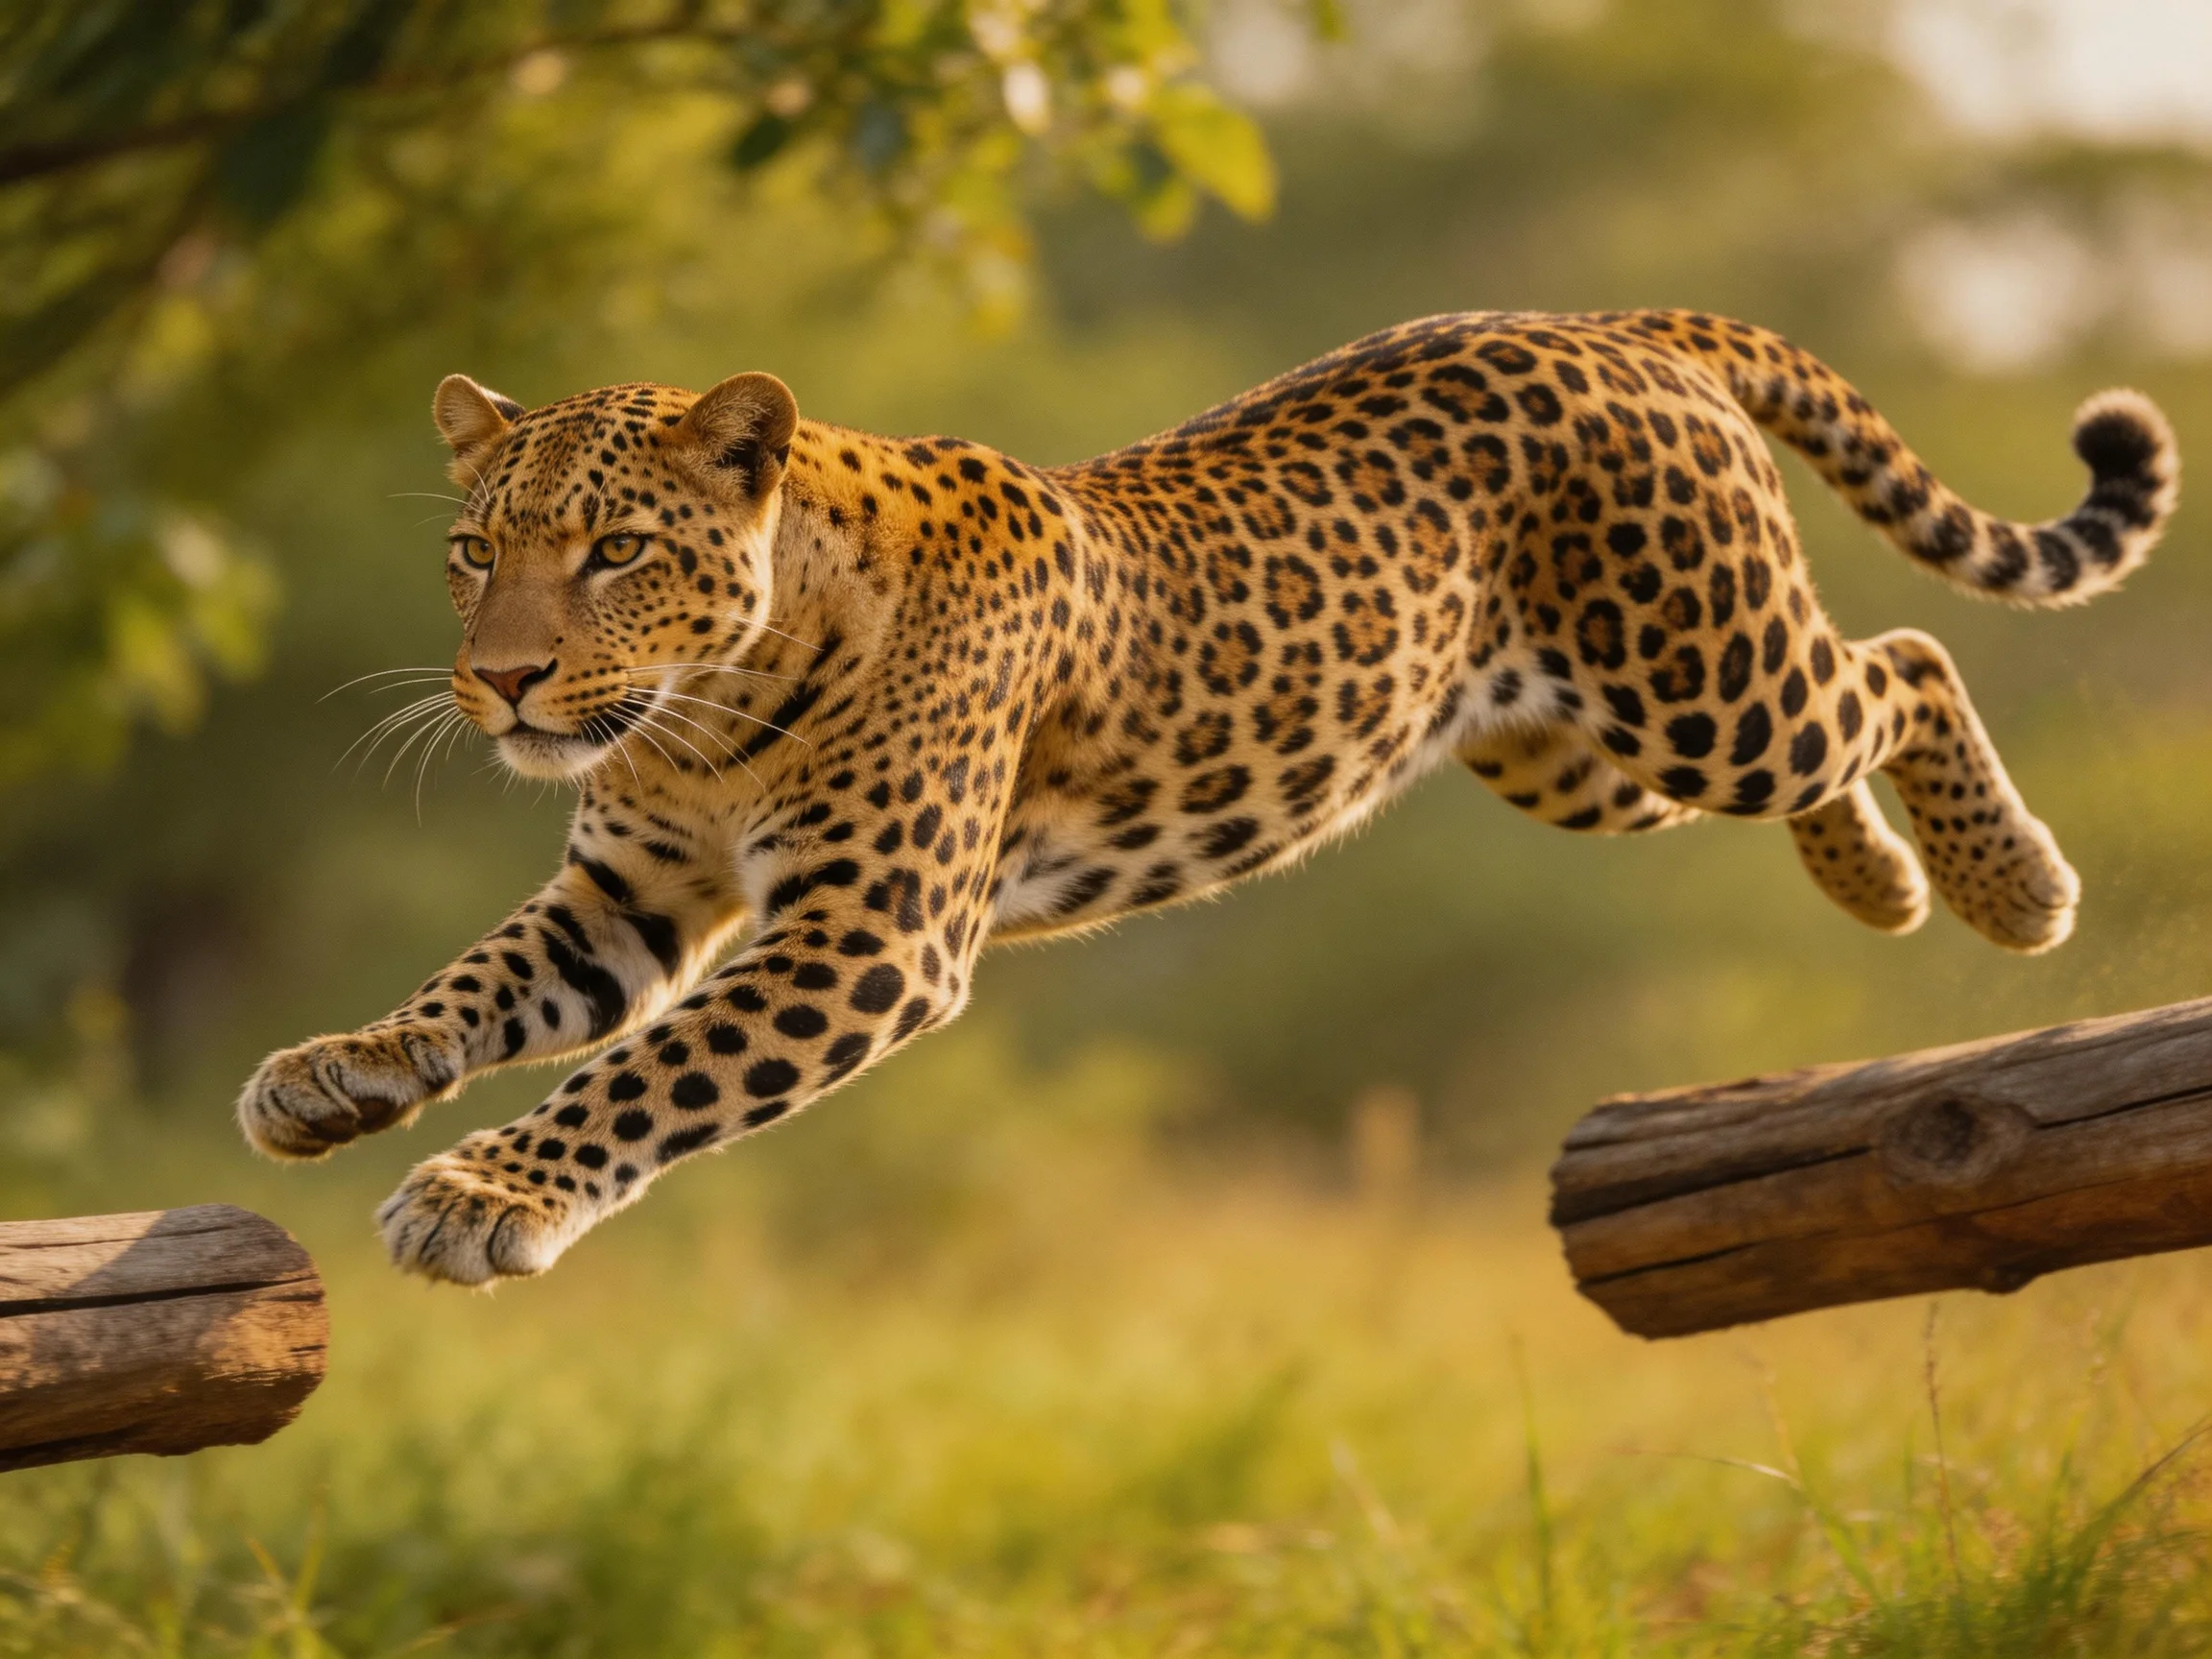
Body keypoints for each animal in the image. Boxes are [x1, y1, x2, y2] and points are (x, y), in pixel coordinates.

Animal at [238, 309, 2179, 1284]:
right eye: (474, 552)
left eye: (616, 551)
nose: (499, 680)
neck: (703, 716)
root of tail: (1597, 319)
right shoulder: (631, 892)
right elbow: (484, 983)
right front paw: (339, 1072)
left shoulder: (869, 935)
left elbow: (649, 1073)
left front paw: (478, 1195)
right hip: (1567, 748)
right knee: (1856, 697)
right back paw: (1881, 887)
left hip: (1700, 677)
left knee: (1900, 662)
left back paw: (2008, 890)